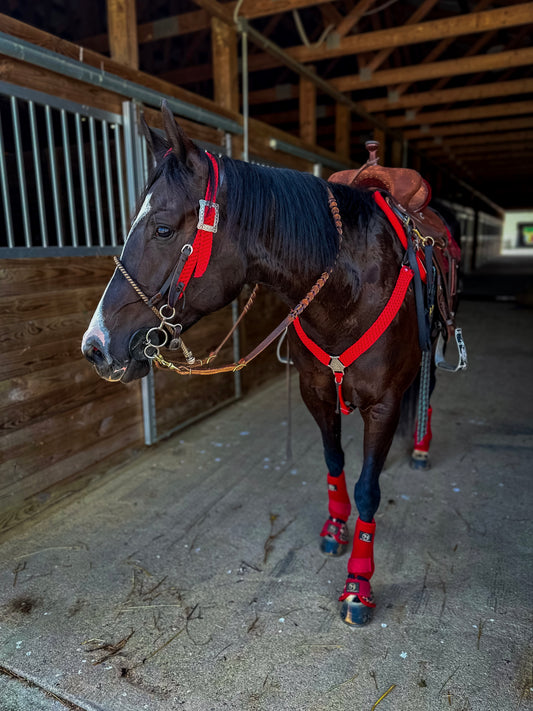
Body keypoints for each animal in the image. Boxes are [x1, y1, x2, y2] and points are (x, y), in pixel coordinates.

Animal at [81, 103, 456, 624]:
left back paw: (419, 446)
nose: (95, 346)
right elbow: (334, 462)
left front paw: (358, 585)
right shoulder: (315, 392)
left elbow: (368, 489)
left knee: (428, 390)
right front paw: (334, 528)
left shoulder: (382, 405)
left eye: (162, 228)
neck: (350, 290)